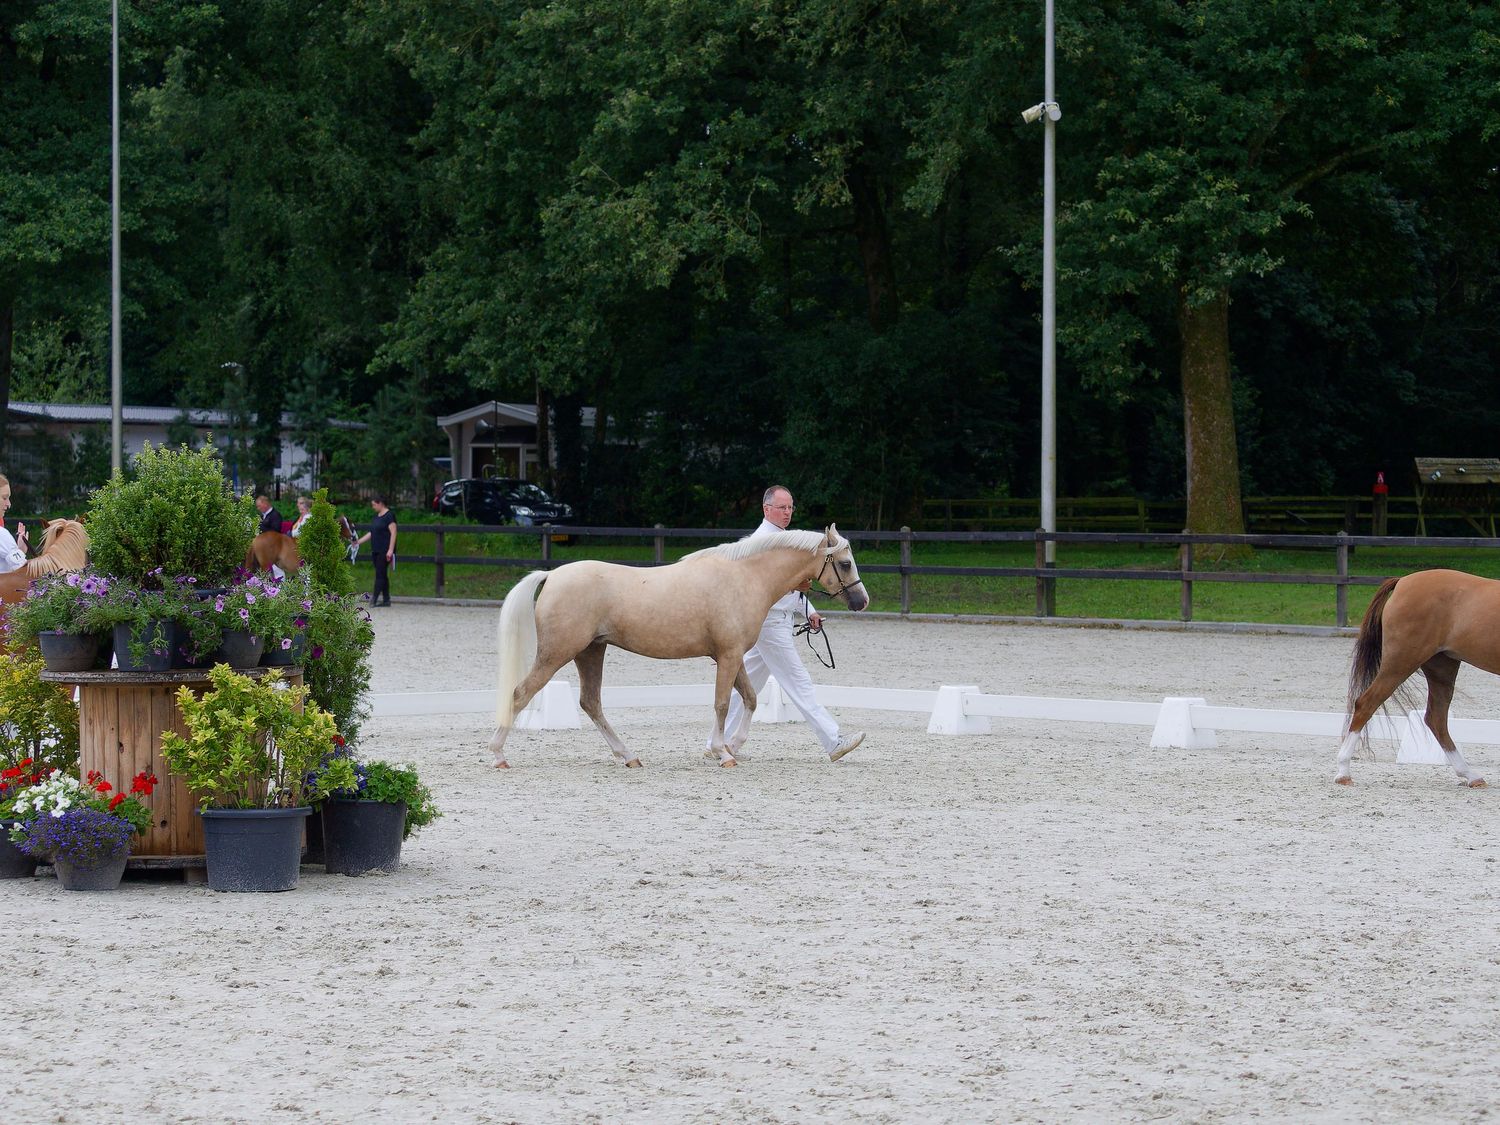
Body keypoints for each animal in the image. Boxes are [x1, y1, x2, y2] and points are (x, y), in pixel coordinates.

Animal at [487, 526, 869, 770]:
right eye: (845, 563)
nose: (862, 601)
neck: (745, 577)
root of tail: (551, 575)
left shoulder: (733, 656)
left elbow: (749, 699)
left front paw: (731, 746)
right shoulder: (728, 656)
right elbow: (722, 704)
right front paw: (723, 753)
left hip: (591, 652)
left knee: (591, 703)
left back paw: (628, 756)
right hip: (557, 654)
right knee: (521, 694)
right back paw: (498, 755)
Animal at [1336, 569, 1500, 787]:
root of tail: (1402, 581)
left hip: (1441, 667)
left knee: (1436, 719)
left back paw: (1470, 775)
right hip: (1401, 662)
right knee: (1366, 703)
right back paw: (1343, 772)